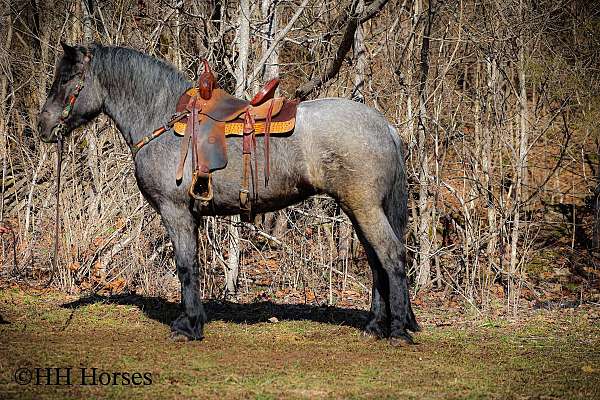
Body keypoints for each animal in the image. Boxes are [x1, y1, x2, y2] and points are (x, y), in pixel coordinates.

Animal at [37, 43, 420, 344]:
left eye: (66, 79)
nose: (42, 125)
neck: (164, 121)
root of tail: (384, 125)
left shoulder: (175, 211)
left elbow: (185, 265)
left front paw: (188, 327)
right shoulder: (189, 215)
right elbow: (192, 264)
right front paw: (191, 320)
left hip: (364, 207)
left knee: (391, 256)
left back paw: (398, 331)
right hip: (359, 209)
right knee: (376, 263)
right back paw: (375, 326)